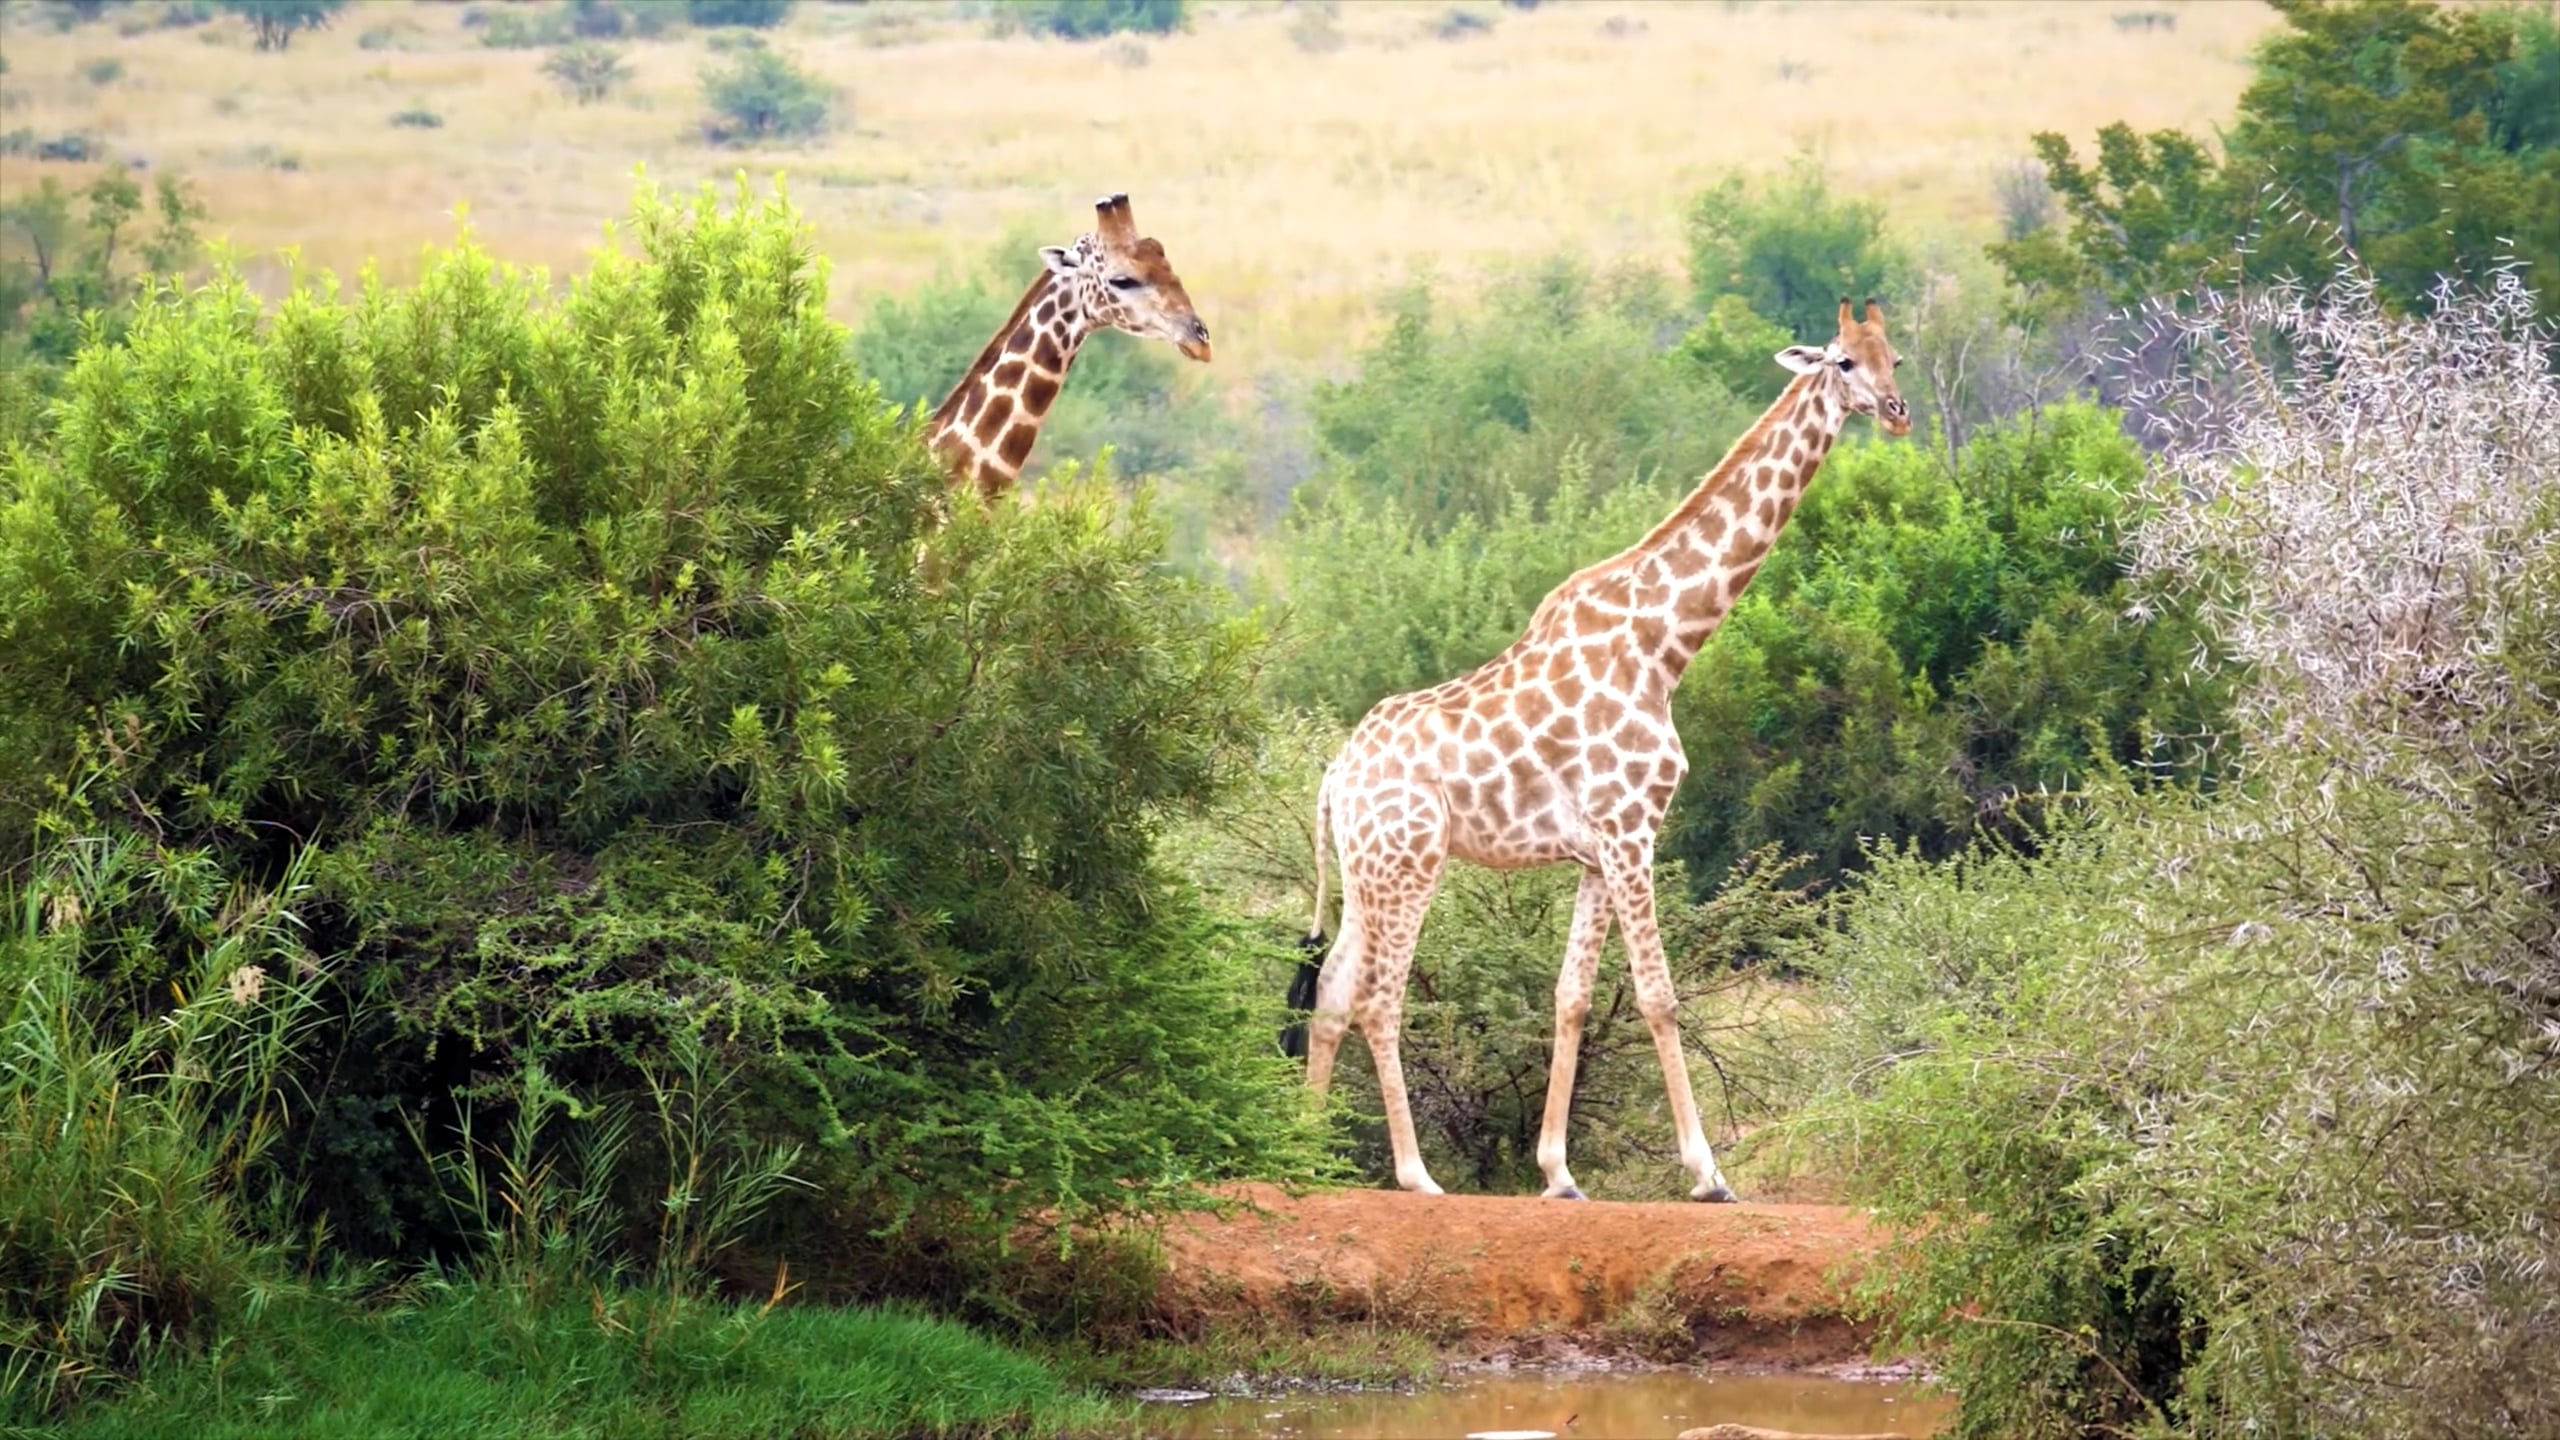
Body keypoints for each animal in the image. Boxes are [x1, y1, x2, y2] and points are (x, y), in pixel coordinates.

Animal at [1290, 299, 1910, 1202]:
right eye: (1841, 362)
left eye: (1895, 355)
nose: (1897, 412)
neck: (1665, 645)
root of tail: (1336, 775)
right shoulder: (1631, 830)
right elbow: (1658, 995)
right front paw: (1708, 1173)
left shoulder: (1591, 852)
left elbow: (1571, 997)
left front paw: (1558, 1173)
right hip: (1410, 862)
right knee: (1378, 998)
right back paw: (1415, 1175)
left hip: (1370, 868)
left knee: (1334, 989)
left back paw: (1304, 1154)